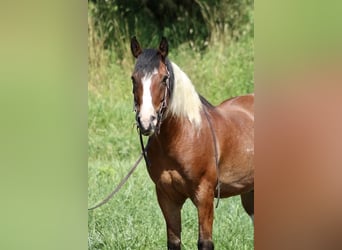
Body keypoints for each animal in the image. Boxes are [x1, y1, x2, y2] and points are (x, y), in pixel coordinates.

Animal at [130, 35, 252, 250]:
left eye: (164, 78)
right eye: (133, 78)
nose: (146, 121)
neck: (185, 135)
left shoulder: (204, 195)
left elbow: (205, 242)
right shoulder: (166, 196)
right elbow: (174, 241)